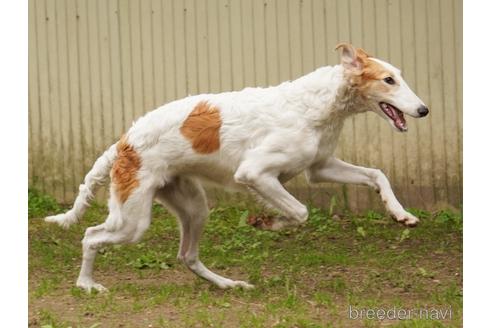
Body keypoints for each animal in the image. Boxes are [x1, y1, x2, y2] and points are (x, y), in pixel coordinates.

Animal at [46, 42, 430, 290]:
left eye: (398, 76)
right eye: (388, 80)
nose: (424, 110)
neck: (315, 105)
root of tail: (125, 140)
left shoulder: (320, 166)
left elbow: (377, 175)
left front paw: (401, 214)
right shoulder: (255, 173)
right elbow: (300, 211)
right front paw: (269, 222)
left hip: (194, 208)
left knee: (187, 256)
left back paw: (228, 284)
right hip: (133, 220)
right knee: (90, 235)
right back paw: (86, 284)